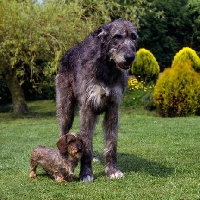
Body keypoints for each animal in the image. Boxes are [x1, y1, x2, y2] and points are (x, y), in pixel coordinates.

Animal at [55, 18, 138, 182]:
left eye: (134, 37)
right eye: (117, 37)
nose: (130, 57)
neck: (107, 66)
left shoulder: (113, 108)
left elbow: (111, 143)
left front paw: (113, 171)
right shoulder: (87, 108)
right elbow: (85, 141)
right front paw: (86, 173)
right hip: (66, 110)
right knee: (63, 132)